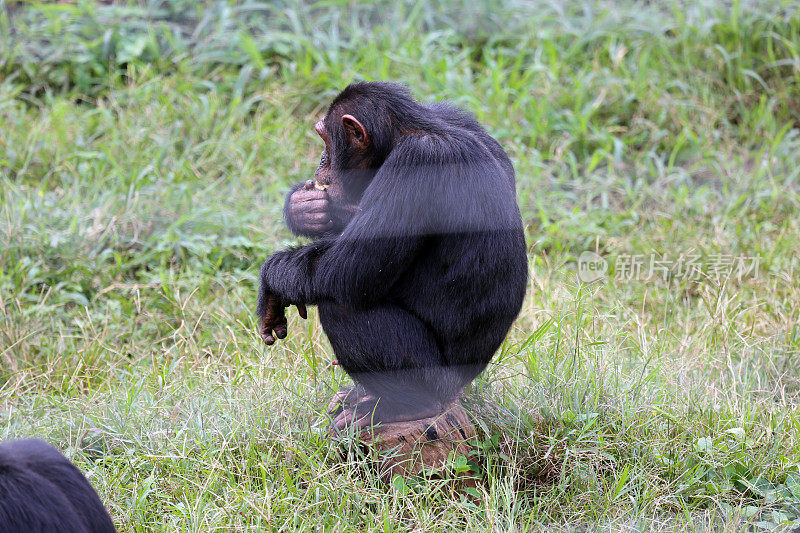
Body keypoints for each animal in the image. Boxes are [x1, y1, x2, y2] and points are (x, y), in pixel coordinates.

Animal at [260, 81, 528, 426]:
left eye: (324, 138)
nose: (321, 160)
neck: (403, 136)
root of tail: (460, 388)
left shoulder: (416, 163)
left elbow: (348, 269)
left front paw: (272, 279)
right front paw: (305, 208)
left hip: (432, 378)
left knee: (341, 303)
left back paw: (403, 407)